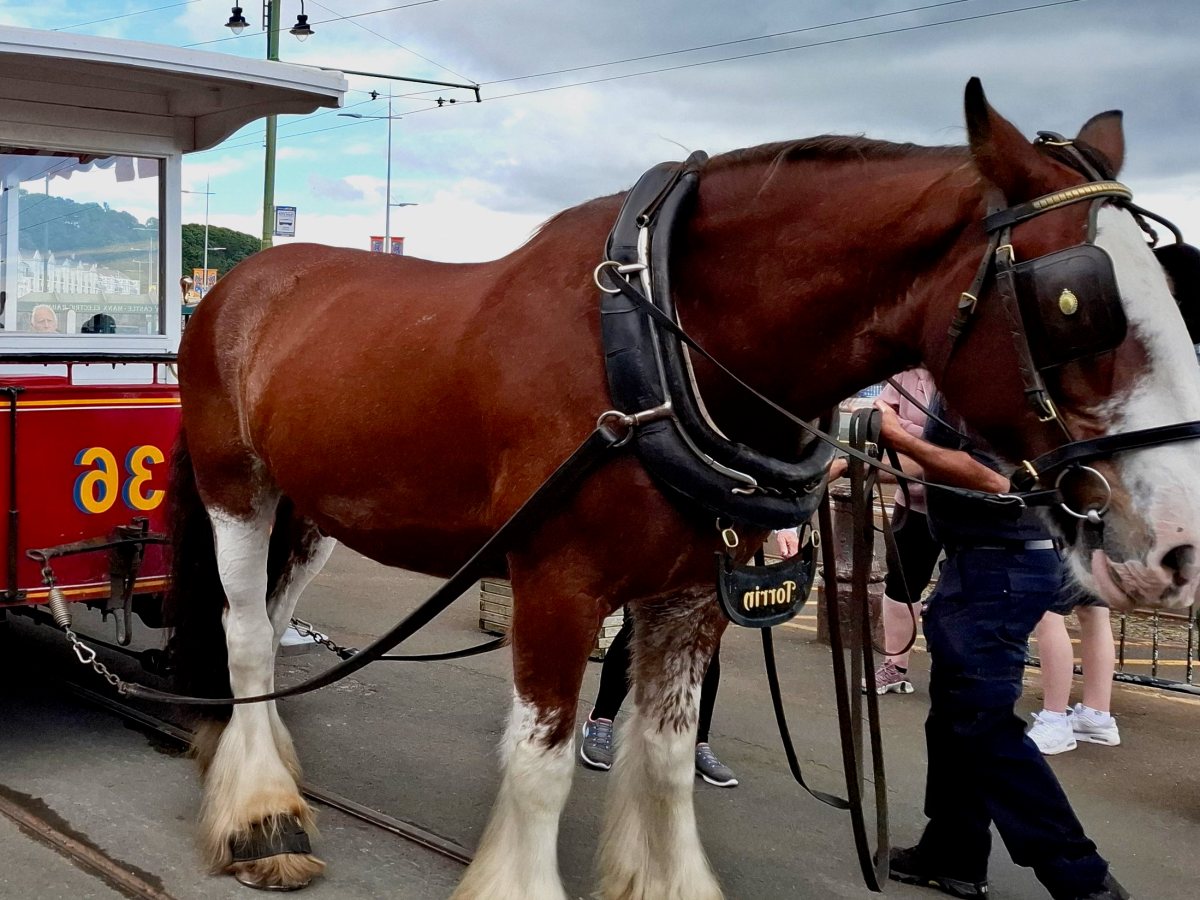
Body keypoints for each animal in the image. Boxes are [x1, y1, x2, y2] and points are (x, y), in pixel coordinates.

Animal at [166, 78, 1200, 898]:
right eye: (1075, 304)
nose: (1179, 549)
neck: (655, 349)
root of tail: (242, 284)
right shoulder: (557, 585)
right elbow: (540, 768)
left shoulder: (694, 591)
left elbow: (661, 761)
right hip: (235, 487)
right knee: (247, 633)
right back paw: (262, 818)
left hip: (313, 507)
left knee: (272, 617)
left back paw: (255, 762)